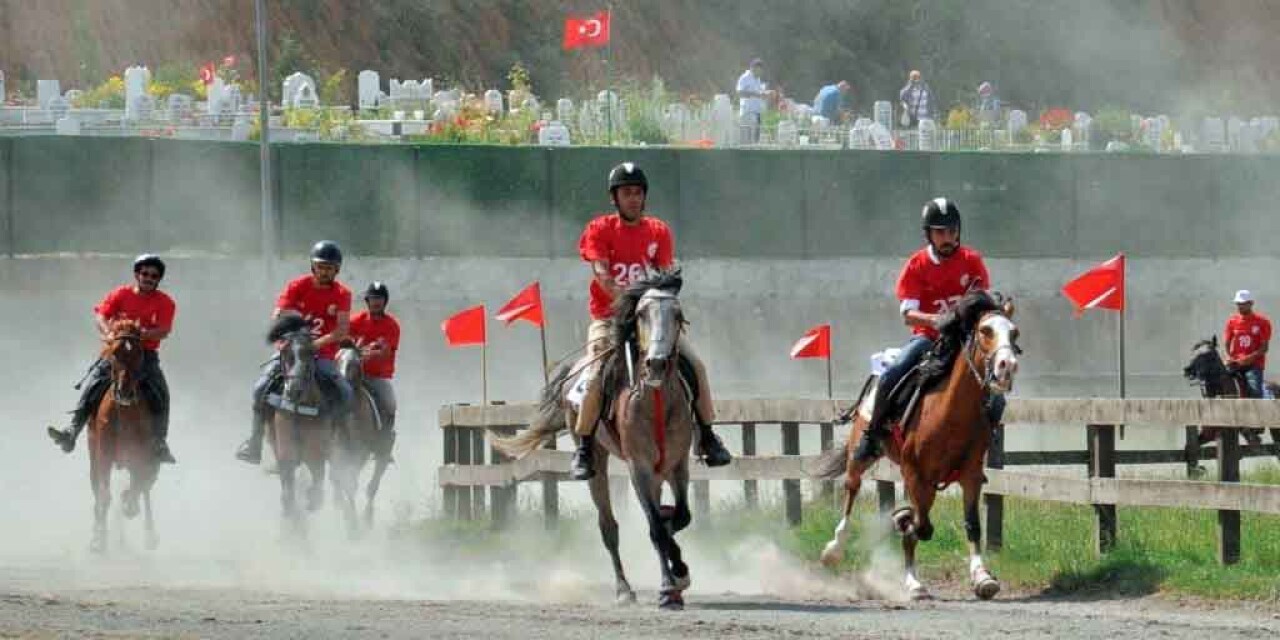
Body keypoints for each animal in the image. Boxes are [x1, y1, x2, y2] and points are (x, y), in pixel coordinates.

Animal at [87, 320, 160, 555]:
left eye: (139, 353)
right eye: (114, 353)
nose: (125, 393)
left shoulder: (144, 457)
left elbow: (139, 486)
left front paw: (129, 502)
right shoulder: (103, 455)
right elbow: (103, 494)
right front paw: (98, 540)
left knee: (145, 488)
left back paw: (149, 535)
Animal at [263, 312, 332, 537]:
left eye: (310, 352)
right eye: (285, 353)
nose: (293, 390)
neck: (299, 411)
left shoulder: (316, 456)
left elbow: (317, 487)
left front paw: (311, 499)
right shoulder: (286, 453)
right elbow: (288, 491)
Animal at [330, 343, 389, 537]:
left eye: (354, 363)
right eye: (336, 359)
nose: (339, 382)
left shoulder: (360, 452)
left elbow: (354, 483)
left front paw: (354, 524)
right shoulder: (338, 451)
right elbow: (344, 481)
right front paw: (350, 521)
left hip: (382, 452)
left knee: (373, 484)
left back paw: (366, 518)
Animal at [494, 270, 701, 609]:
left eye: (678, 314)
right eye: (641, 314)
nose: (656, 362)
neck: (656, 399)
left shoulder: (677, 463)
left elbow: (679, 517)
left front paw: (679, 572)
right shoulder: (638, 467)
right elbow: (656, 528)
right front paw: (669, 587)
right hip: (599, 465)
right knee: (608, 527)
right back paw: (624, 590)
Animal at [808, 290, 1018, 599]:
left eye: (1014, 332)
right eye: (985, 330)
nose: (1007, 366)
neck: (950, 413)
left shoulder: (969, 474)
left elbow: (971, 525)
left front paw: (982, 577)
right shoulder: (916, 474)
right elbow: (921, 528)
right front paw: (905, 536)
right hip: (863, 453)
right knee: (852, 488)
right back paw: (835, 550)